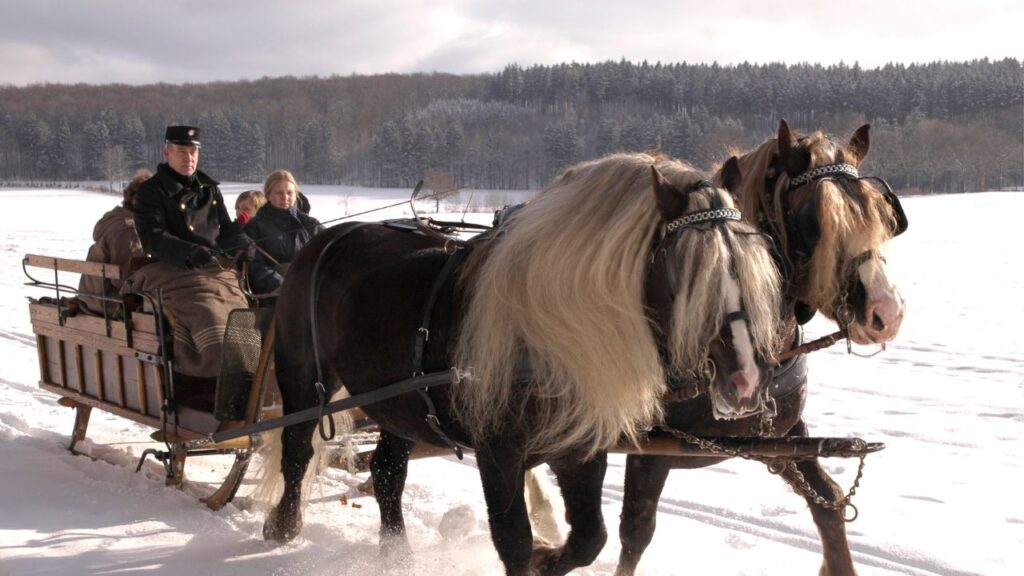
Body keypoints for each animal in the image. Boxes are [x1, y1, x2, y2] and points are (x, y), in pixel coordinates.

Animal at [260, 152, 784, 575]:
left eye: (752, 261)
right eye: (687, 271)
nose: (747, 380)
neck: (548, 333)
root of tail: (329, 237)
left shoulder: (578, 448)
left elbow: (589, 539)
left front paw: (547, 558)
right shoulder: (499, 453)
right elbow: (513, 541)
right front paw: (535, 554)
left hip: (401, 402)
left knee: (389, 471)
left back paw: (398, 557)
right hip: (302, 373)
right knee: (296, 447)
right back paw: (283, 523)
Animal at [615, 121, 908, 576]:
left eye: (880, 212)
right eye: (815, 220)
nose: (887, 312)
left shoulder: (782, 437)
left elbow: (829, 502)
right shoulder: (648, 450)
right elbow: (635, 532)